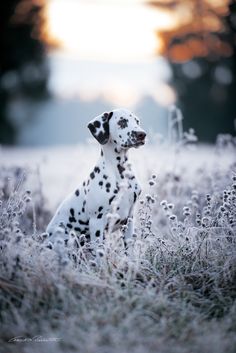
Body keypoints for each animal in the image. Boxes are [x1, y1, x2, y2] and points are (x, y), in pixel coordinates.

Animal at [45, 108, 146, 249]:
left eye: (137, 121)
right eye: (122, 122)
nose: (142, 134)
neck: (120, 173)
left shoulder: (129, 220)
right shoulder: (96, 223)